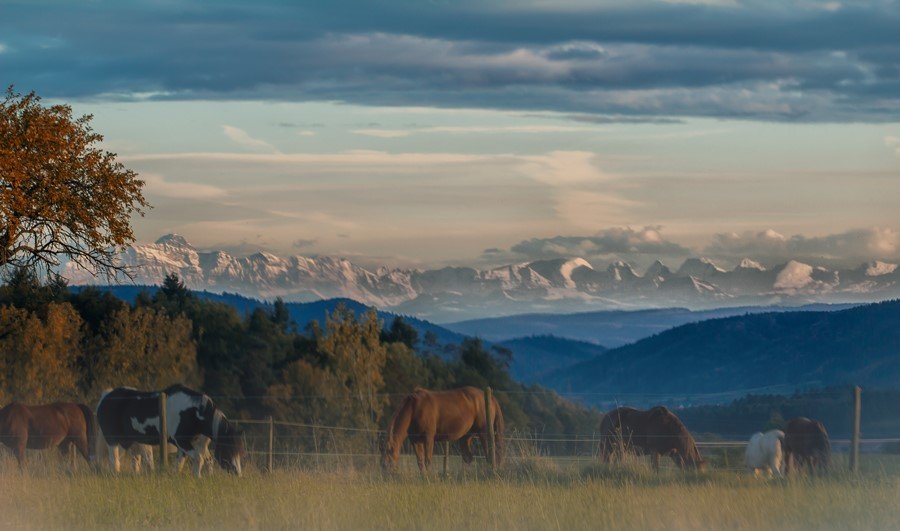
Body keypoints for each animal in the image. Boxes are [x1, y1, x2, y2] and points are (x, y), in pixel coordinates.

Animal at [96, 382, 243, 478]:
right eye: (229, 450)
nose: (238, 474)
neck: (193, 412)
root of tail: (106, 397)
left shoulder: (194, 445)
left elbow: (202, 461)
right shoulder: (182, 442)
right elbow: (198, 458)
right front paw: (197, 477)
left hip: (131, 442)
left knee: (135, 460)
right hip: (113, 440)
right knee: (114, 460)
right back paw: (115, 474)